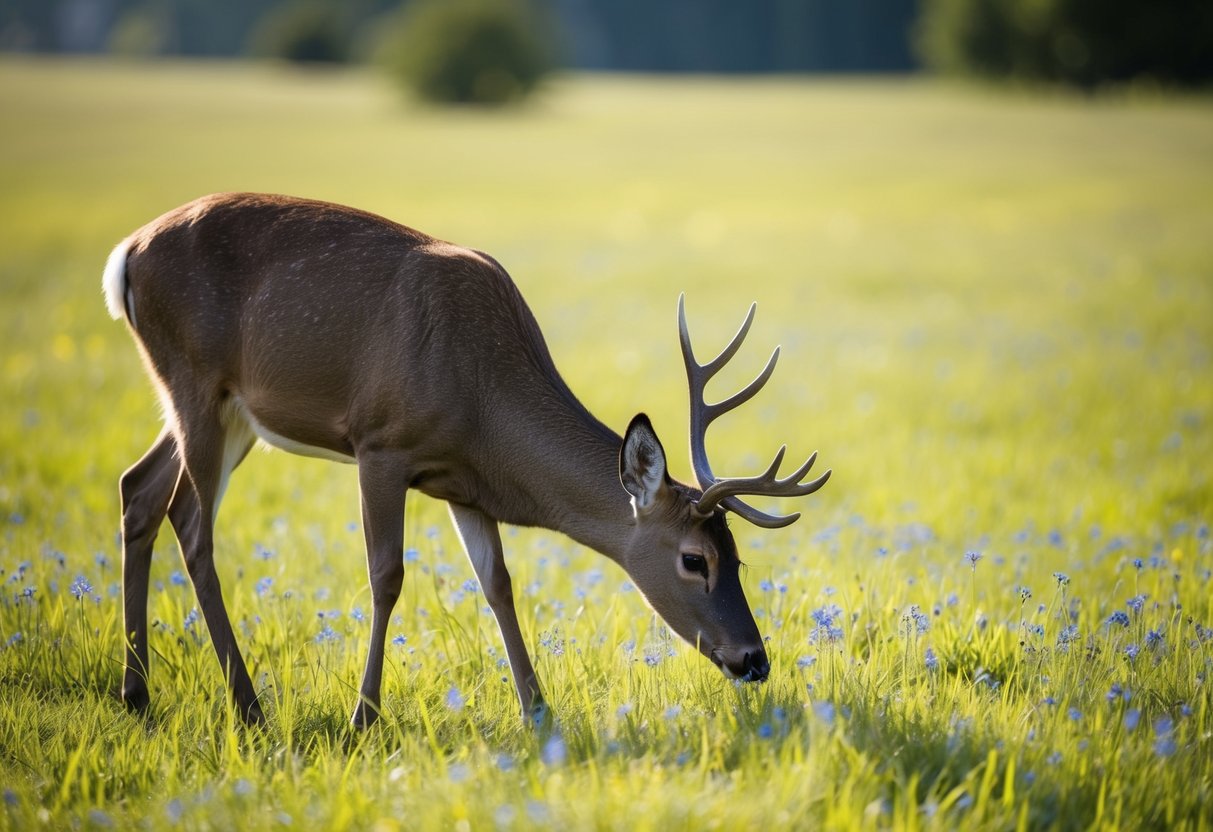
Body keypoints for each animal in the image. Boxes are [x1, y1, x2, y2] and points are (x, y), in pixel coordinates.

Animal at [104, 192, 829, 727]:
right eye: (694, 559)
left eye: (739, 556)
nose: (754, 659)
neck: (482, 400)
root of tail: (127, 254)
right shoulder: (381, 444)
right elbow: (387, 575)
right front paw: (365, 716)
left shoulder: (463, 486)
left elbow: (498, 584)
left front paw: (538, 712)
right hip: (194, 380)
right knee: (191, 524)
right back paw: (247, 704)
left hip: (226, 411)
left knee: (138, 489)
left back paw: (136, 693)